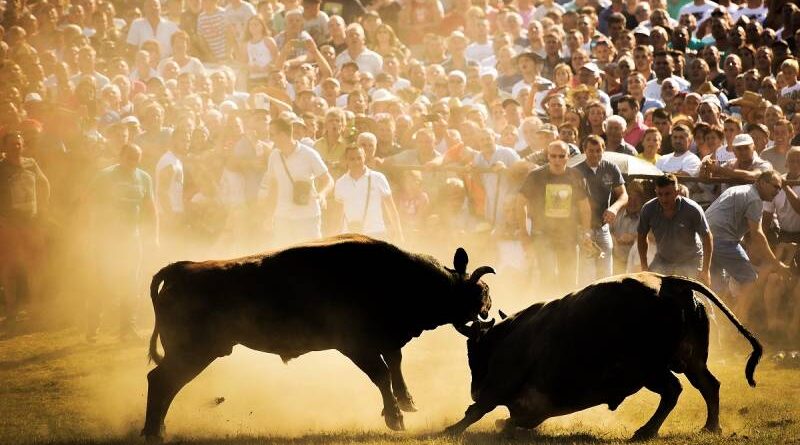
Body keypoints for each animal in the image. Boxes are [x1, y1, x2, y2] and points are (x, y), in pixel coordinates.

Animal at [144, 234, 494, 442]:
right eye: (478, 292)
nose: (489, 305)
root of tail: (182, 270)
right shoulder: (355, 346)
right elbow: (382, 373)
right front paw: (395, 418)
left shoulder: (384, 342)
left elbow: (394, 364)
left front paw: (407, 403)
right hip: (194, 352)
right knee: (161, 381)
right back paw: (153, 432)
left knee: (164, 382)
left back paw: (157, 429)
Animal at [446, 272, 760, 438]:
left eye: (474, 352)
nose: (474, 388)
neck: (510, 334)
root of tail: (669, 282)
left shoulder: (502, 383)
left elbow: (480, 409)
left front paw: (451, 428)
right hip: (690, 361)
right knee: (708, 385)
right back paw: (710, 427)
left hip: (649, 369)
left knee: (674, 389)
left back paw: (645, 431)